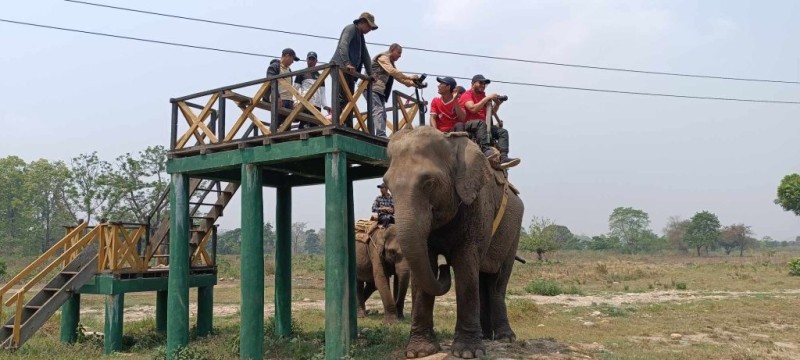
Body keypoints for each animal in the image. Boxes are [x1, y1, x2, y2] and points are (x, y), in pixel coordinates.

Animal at [386, 126, 528, 358]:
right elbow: (426, 264)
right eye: (386, 185)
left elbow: (465, 263)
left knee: (497, 281)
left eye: (429, 183)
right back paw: (486, 336)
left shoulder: (477, 206)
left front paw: (468, 353)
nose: (444, 268)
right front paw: (419, 352)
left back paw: (505, 338)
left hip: (513, 232)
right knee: (482, 278)